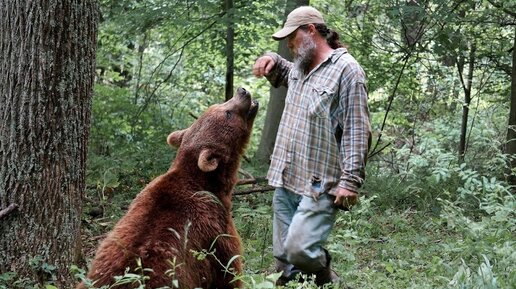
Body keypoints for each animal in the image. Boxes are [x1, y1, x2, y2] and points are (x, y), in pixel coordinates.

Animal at [77, 87, 258, 288]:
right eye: (227, 113)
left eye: (218, 104)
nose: (242, 91)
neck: (211, 185)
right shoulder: (216, 231)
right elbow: (228, 271)